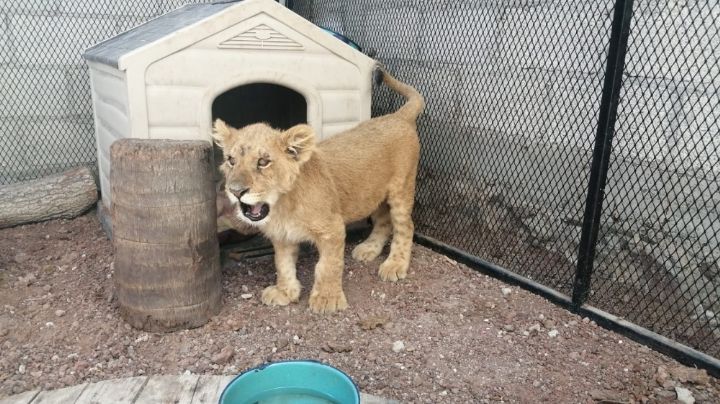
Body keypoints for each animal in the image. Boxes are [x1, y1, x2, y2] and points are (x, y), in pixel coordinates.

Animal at [212, 69, 424, 313]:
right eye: (231, 160)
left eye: (263, 162)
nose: (235, 191)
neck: (282, 206)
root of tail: (398, 116)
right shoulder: (282, 235)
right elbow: (282, 264)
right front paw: (285, 292)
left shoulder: (333, 229)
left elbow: (328, 266)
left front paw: (326, 299)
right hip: (373, 194)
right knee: (383, 221)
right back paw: (368, 249)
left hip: (401, 189)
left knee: (405, 226)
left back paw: (395, 264)